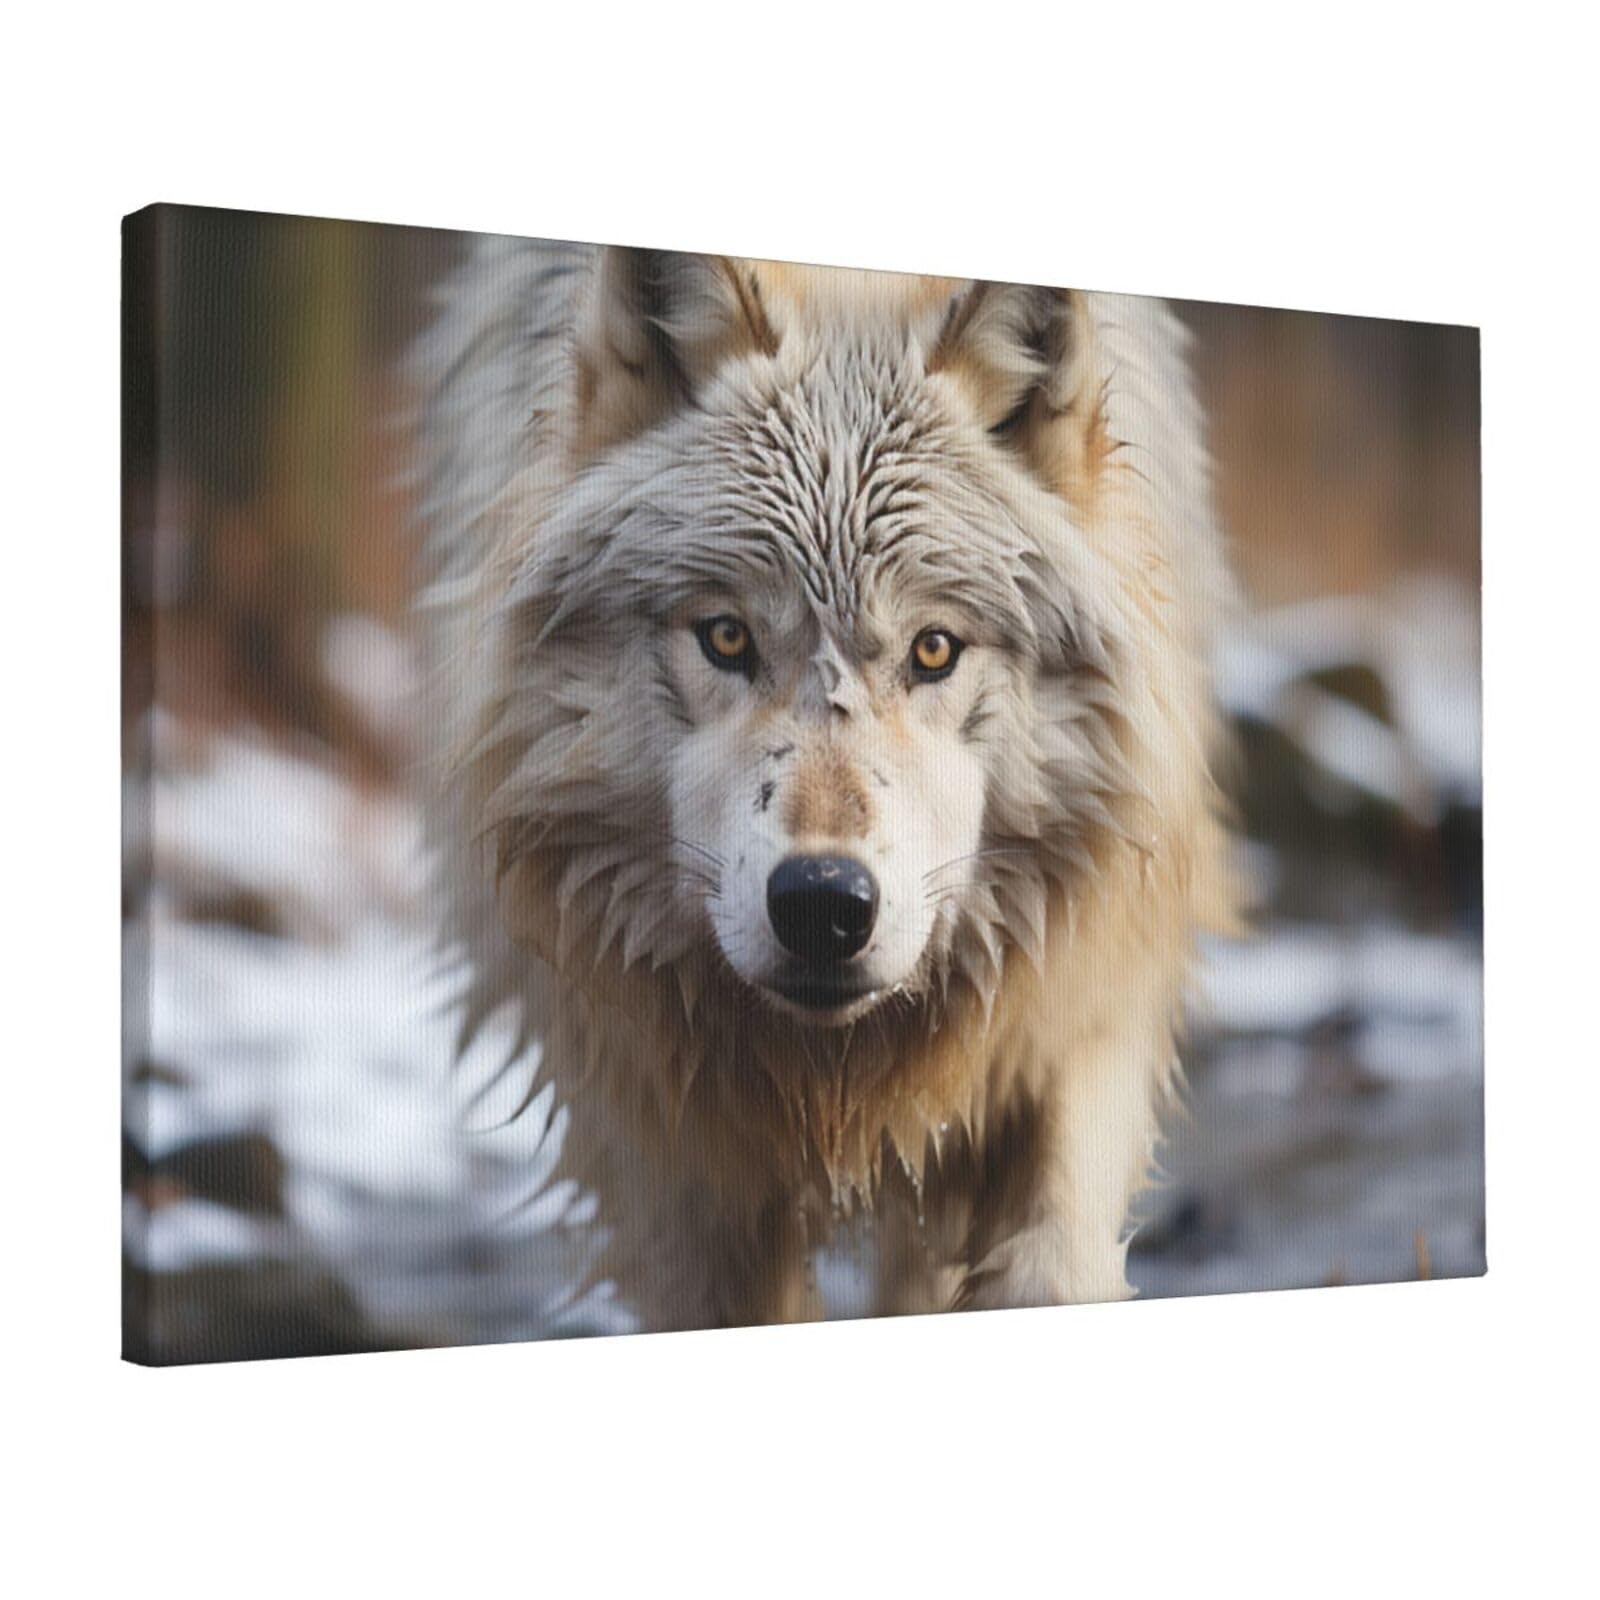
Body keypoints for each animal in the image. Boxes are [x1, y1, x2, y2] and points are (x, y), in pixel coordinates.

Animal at [411, 239, 1237, 1331]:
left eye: (934, 649)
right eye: (727, 636)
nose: (822, 905)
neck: (834, 1078)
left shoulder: (1077, 994)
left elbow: (1050, 1259)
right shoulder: (659, 1135)